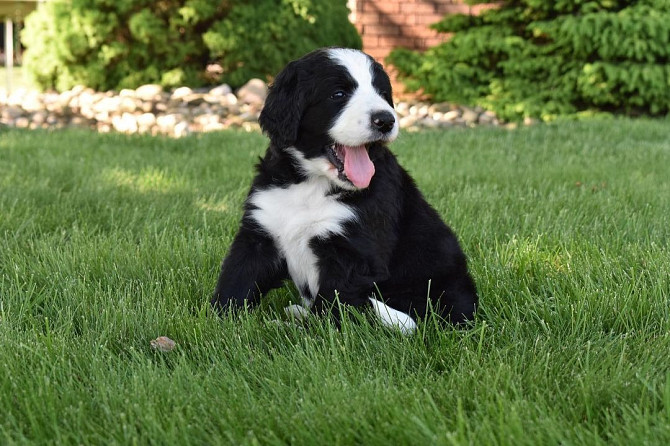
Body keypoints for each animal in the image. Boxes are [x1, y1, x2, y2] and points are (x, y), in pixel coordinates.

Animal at [213, 48, 480, 334]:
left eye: (382, 93)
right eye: (338, 94)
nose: (386, 120)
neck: (311, 184)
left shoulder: (352, 252)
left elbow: (331, 305)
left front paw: (307, 333)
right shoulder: (261, 231)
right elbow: (238, 278)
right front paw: (219, 320)